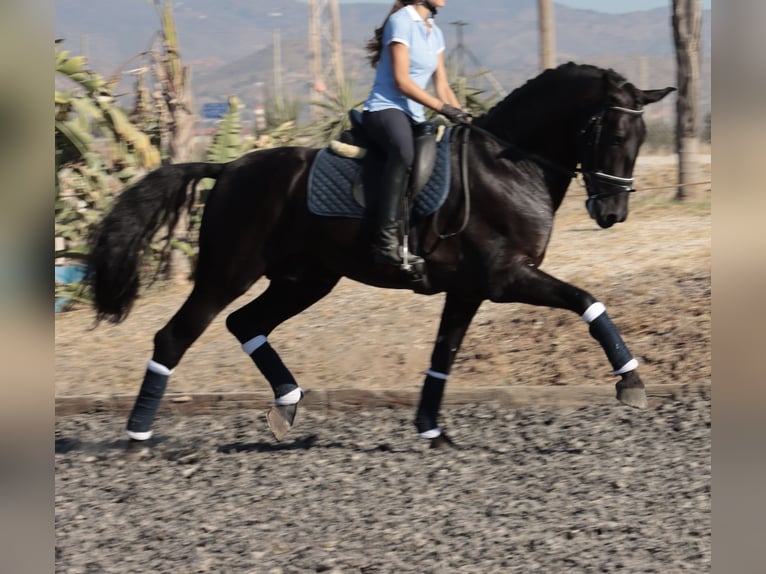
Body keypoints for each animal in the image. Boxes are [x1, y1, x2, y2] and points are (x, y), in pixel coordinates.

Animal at [90, 64, 676, 450]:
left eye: (641, 136)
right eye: (615, 133)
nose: (612, 212)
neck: (510, 165)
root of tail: (229, 166)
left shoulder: (468, 288)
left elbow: (444, 355)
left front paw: (433, 430)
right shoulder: (507, 277)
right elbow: (587, 300)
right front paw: (631, 382)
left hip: (305, 280)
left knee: (245, 323)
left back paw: (286, 405)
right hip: (228, 273)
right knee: (175, 336)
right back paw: (138, 436)